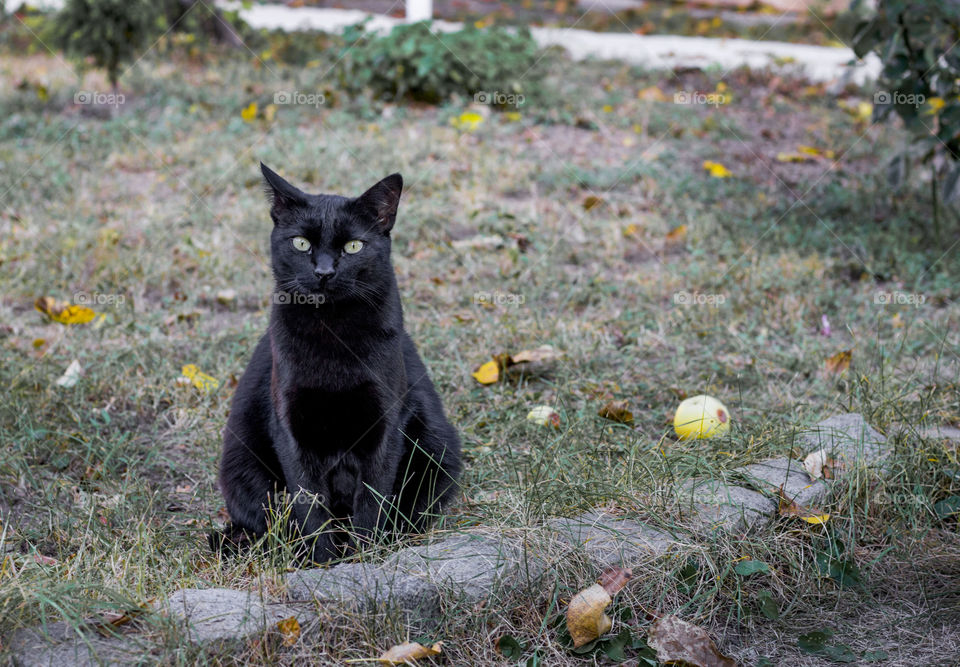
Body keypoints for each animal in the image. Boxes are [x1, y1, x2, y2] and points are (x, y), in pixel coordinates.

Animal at [214, 163, 462, 564]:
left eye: (353, 246)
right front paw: (323, 562)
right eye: (301, 243)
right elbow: (311, 504)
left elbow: (372, 498)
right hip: (242, 466)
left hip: (438, 447)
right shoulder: (291, 426)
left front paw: (365, 558)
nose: (324, 272)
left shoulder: (385, 424)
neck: (332, 331)